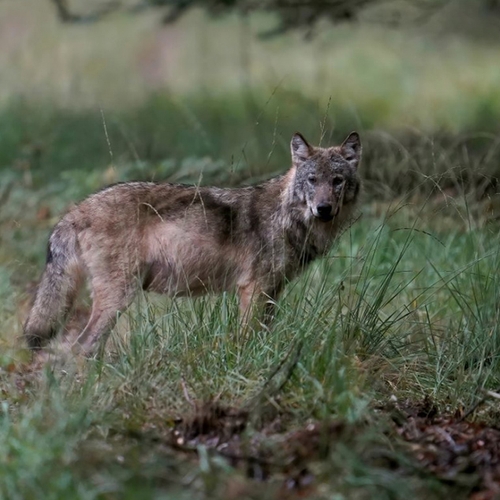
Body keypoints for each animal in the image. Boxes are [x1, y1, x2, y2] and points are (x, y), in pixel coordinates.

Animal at [23, 131, 362, 354]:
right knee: (82, 347)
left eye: (337, 181)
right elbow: (247, 338)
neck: (287, 217)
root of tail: (76, 209)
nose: (324, 209)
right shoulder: (253, 289)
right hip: (118, 298)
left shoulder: (272, 291)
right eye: (312, 180)